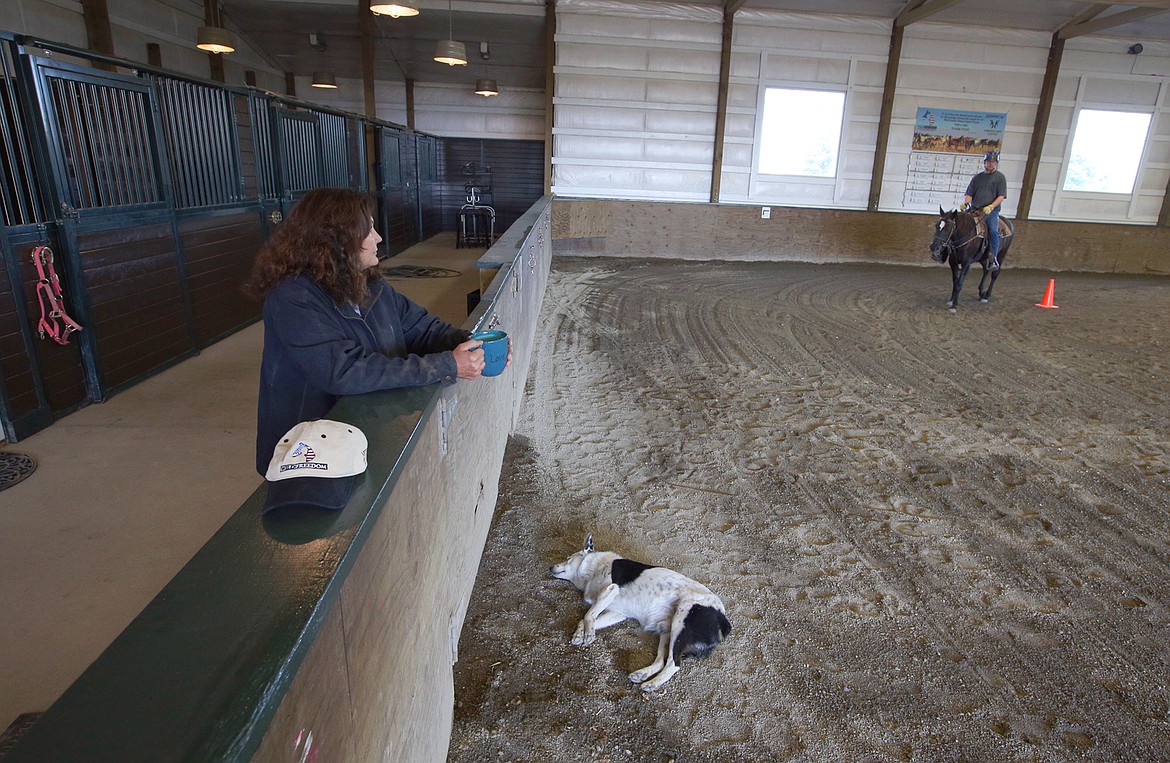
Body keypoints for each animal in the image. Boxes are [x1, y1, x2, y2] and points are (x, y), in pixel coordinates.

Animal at [549, 535, 730, 692]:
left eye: (568, 558)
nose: (550, 567)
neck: (594, 569)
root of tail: (722, 618)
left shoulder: (610, 589)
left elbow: (588, 615)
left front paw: (588, 635)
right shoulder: (616, 612)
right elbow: (586, 618)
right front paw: (580, 634)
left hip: (681, 622)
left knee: (673, 664)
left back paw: (652, 684)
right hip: (666, 629)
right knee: (661, 661)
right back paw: (642, 674)